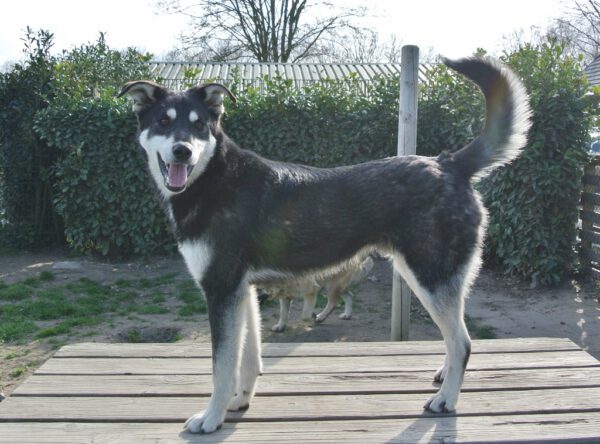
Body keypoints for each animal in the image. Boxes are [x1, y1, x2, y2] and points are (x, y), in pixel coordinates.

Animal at [118, 56, 528, 434]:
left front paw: (211, 418)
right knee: (455, 336)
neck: (214, 179)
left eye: (199, 125)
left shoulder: (221, 291)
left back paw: (446, 400)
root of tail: (449, 163)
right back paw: (444, 377)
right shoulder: (242, 292)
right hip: (431, 278)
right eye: (163, 122)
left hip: (429, 278)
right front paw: (239, 401)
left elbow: (222, 366)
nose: (183, 151)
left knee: (462, 342)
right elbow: (248, 359)